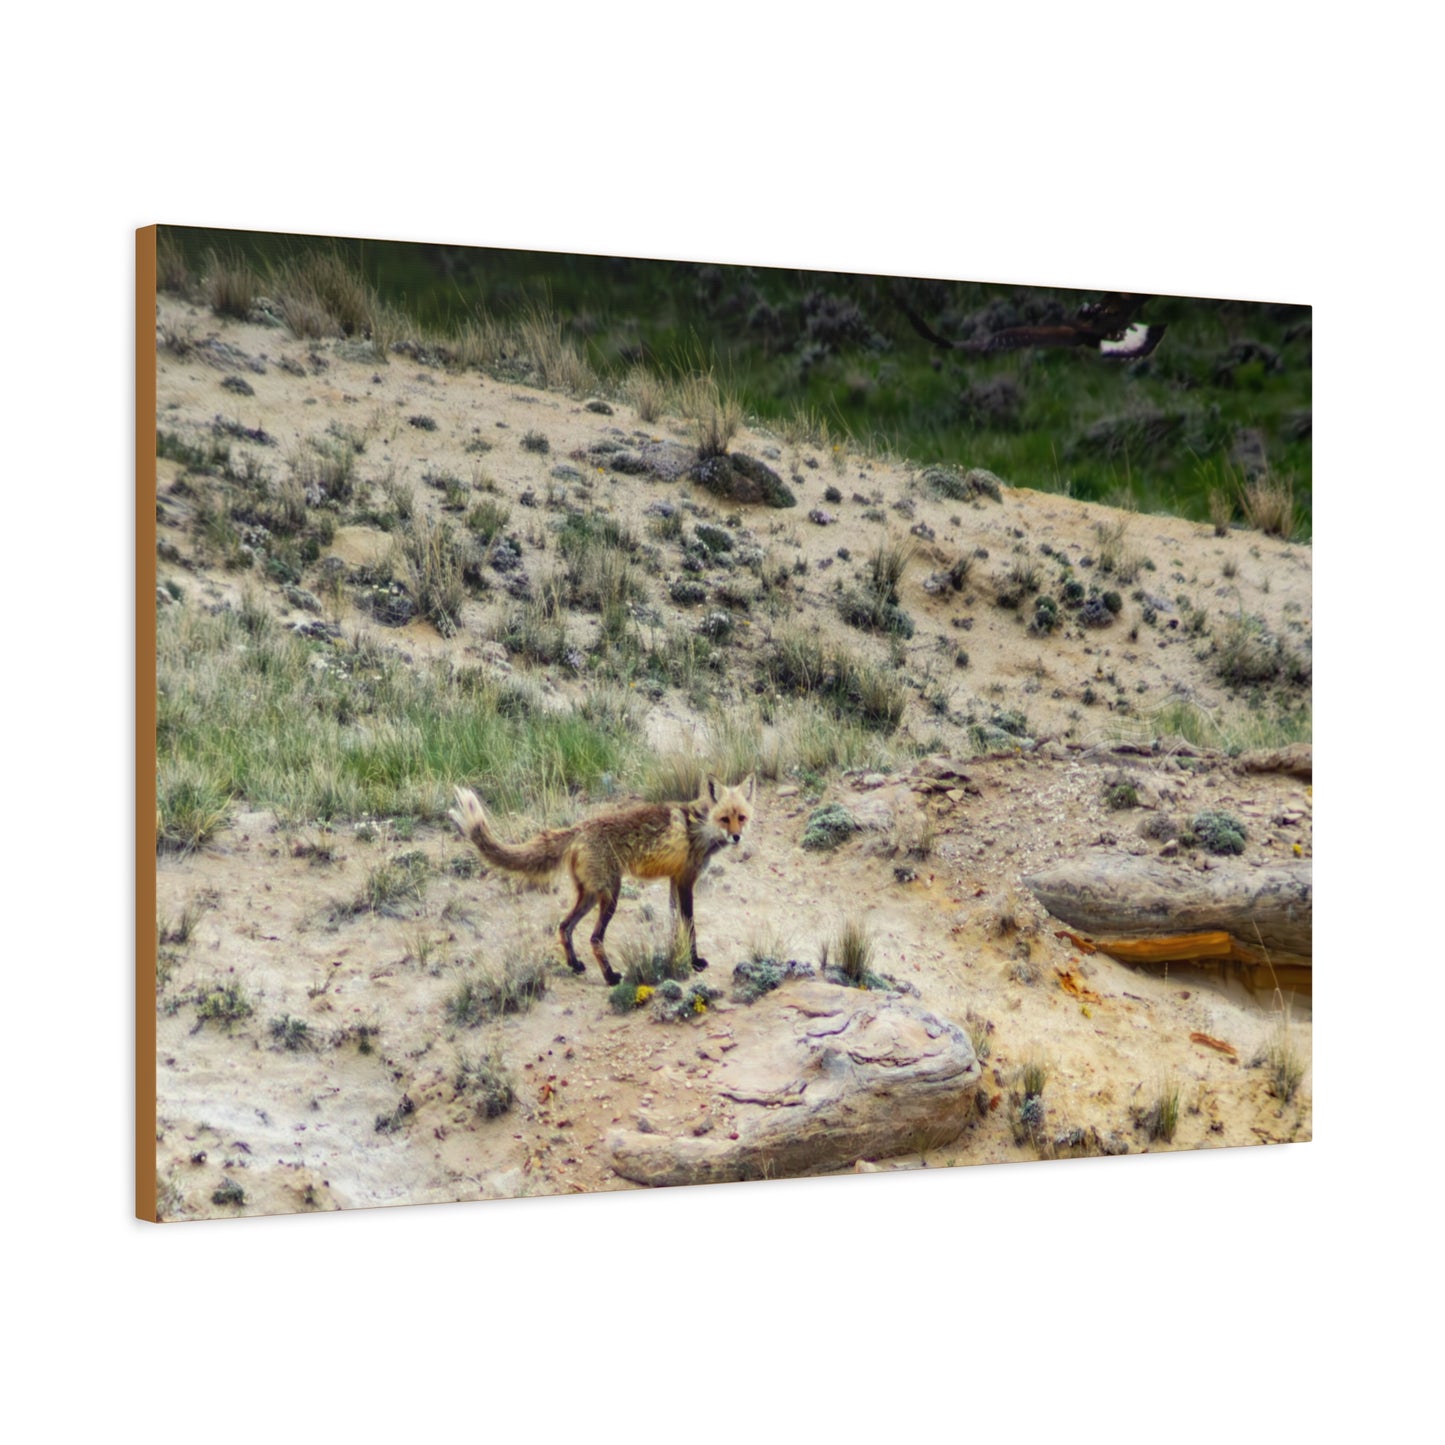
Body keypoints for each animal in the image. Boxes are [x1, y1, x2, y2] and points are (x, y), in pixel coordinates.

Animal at [448, 776, 755, 986]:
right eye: (725, 818)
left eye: (741, 817)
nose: (737, 837)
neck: (699, 827)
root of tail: (579, 828)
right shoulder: (685, 881)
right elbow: (689, 926)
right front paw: (694, 961)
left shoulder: (674, 880)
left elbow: (674, 925)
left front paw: (675, 956)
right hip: (611, 895)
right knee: (595, 938)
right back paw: (610, 977)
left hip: (590, 895)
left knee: (564, 926)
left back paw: (575, 965)